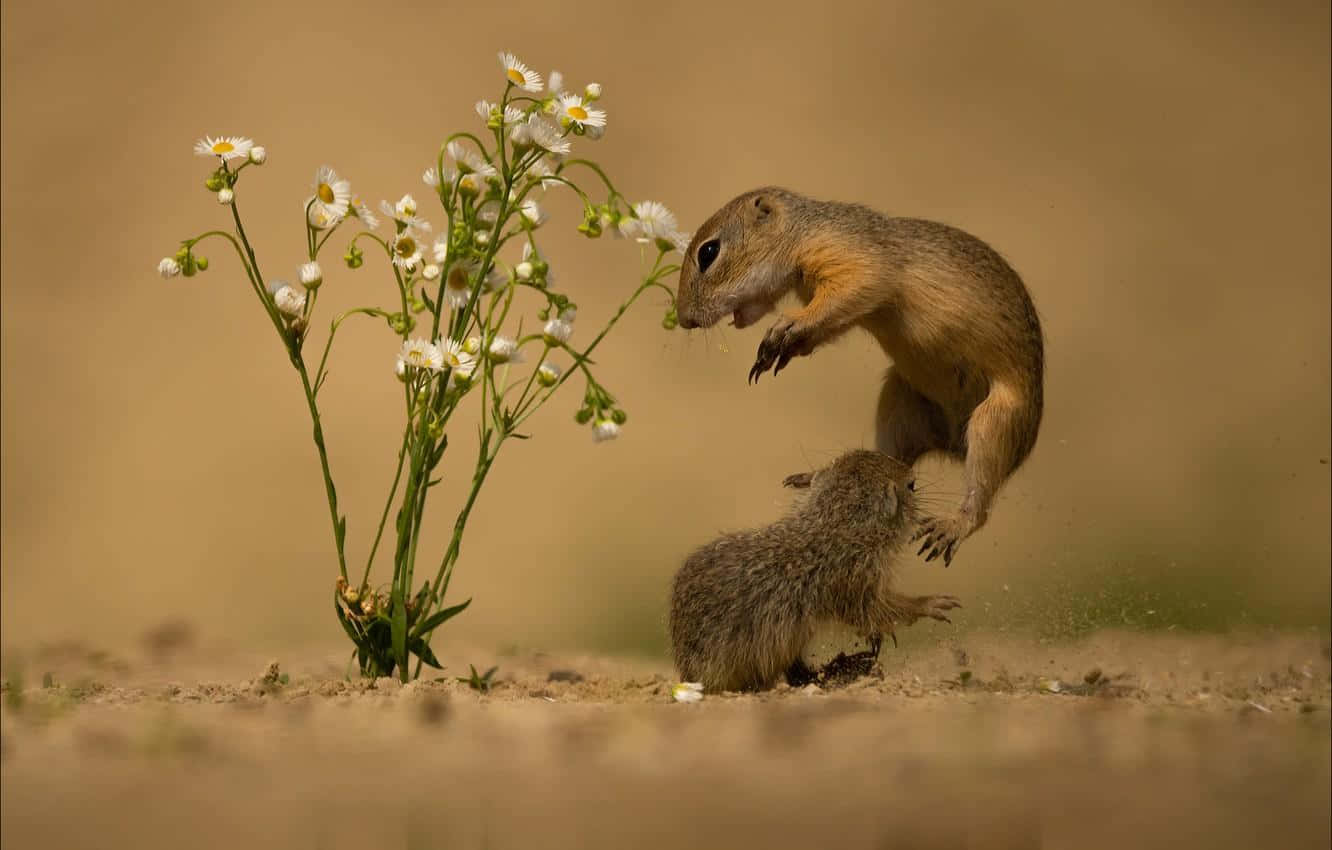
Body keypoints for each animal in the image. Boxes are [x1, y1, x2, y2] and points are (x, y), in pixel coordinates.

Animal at [671, 450, 964, 698]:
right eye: (911, 485)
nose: (912, 473)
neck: (834, 525)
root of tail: (686, 670)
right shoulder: (855, 584)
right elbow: (881, 610)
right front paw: (929, 604)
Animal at [681, 189, 1044, 570]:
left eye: (708, 252)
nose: (684, 318)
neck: (802, 231)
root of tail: (952, 445)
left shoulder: (852, 260)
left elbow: (851, 291)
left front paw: (785, 328)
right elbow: (827, 324)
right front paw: (782, 348)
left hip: (997, 423)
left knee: (980, 498)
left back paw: (955, 524)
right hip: (899, 406)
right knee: (890, 463)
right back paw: (820, 476)